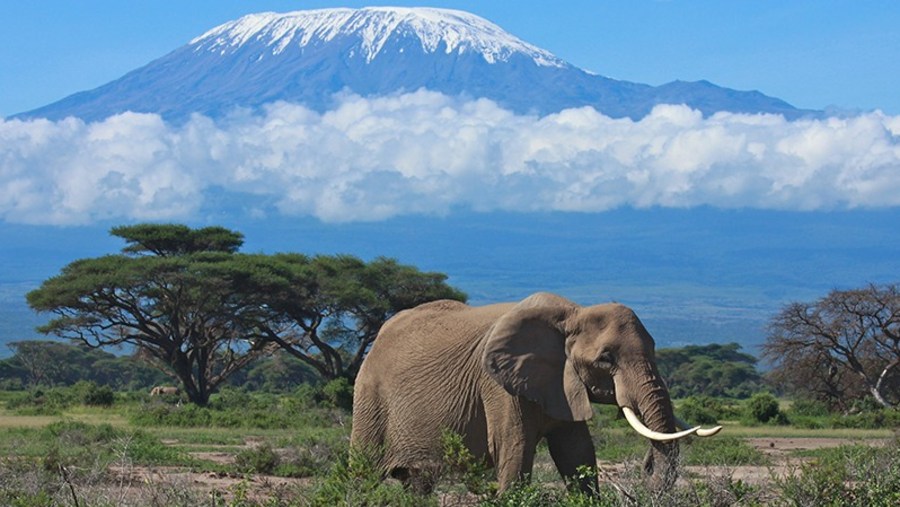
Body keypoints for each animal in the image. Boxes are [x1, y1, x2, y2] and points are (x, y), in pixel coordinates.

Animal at [348, 292, 720, 494]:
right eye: (606, 359)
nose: (645, 466)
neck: (572, 315)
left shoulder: (561, 382)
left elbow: (577, 454)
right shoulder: (497, 385)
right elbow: (515, 450)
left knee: (418, 482)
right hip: (369, 397)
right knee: (363, 474)